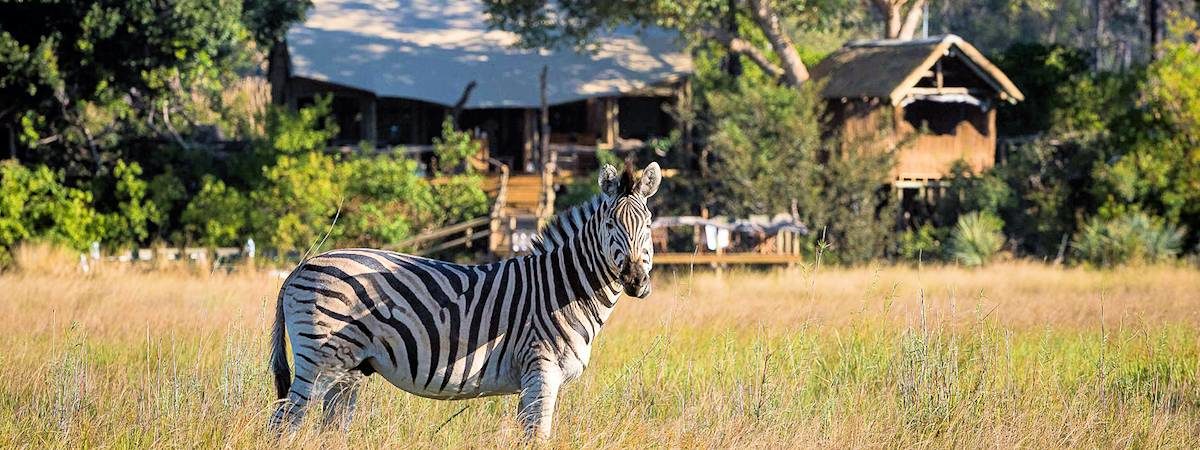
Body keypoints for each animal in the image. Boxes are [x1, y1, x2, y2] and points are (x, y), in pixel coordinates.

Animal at [267, 162, 662, 441]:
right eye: (610, 225)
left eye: (647, 224)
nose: (635, 280)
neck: (562, 288)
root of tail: (302, 265)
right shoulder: (541, 368)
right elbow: (538, 436)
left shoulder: (531, 377)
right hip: (318, 361)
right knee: (284, 423)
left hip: (347, 370)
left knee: (328, 430)